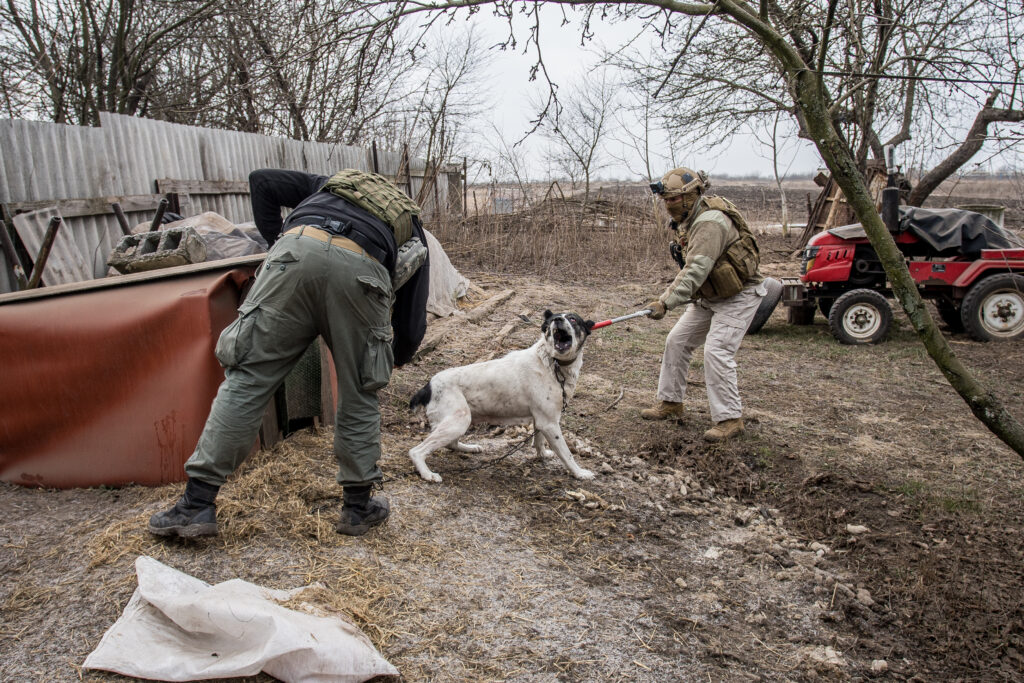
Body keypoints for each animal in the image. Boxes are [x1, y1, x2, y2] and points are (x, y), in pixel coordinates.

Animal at [407, 313, 598, 483]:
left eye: (573, 319)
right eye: (551, 321)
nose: (557, 320)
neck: (552, 362)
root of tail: (428, 387)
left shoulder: (542, 420)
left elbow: (539, 440)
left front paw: (542, 455)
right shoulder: (550, 423)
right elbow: (566, 454)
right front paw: (579, 473)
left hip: (459, 421)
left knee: (450, 444)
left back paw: (470, 448)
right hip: (458, 420)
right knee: (416, 451)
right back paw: (428, 474)